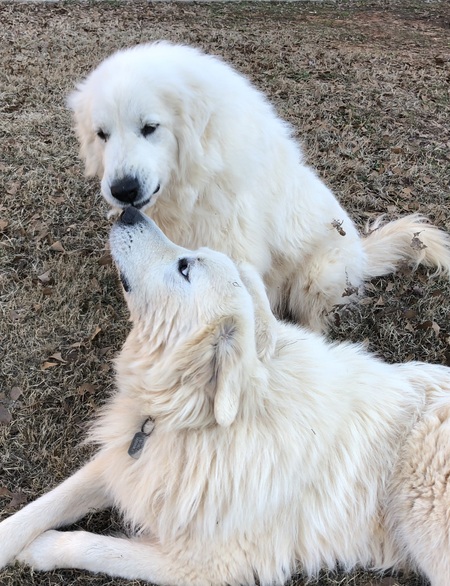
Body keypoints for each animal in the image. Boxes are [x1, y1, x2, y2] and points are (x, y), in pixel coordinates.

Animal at [0, 208, 450, 580]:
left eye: (184, 267)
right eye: (189, 255)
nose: (129, 211)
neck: (198, 420)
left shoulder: (204, 565)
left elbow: (93, 546)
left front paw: (41, 549)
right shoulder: (127, 463)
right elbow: (48, 503)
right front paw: (10, 539)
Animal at [67, 42, 450, 330]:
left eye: (149, 127)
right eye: (102, 134)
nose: (123, 190)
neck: (195, 182)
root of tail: (362, 255)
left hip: (316, 278)